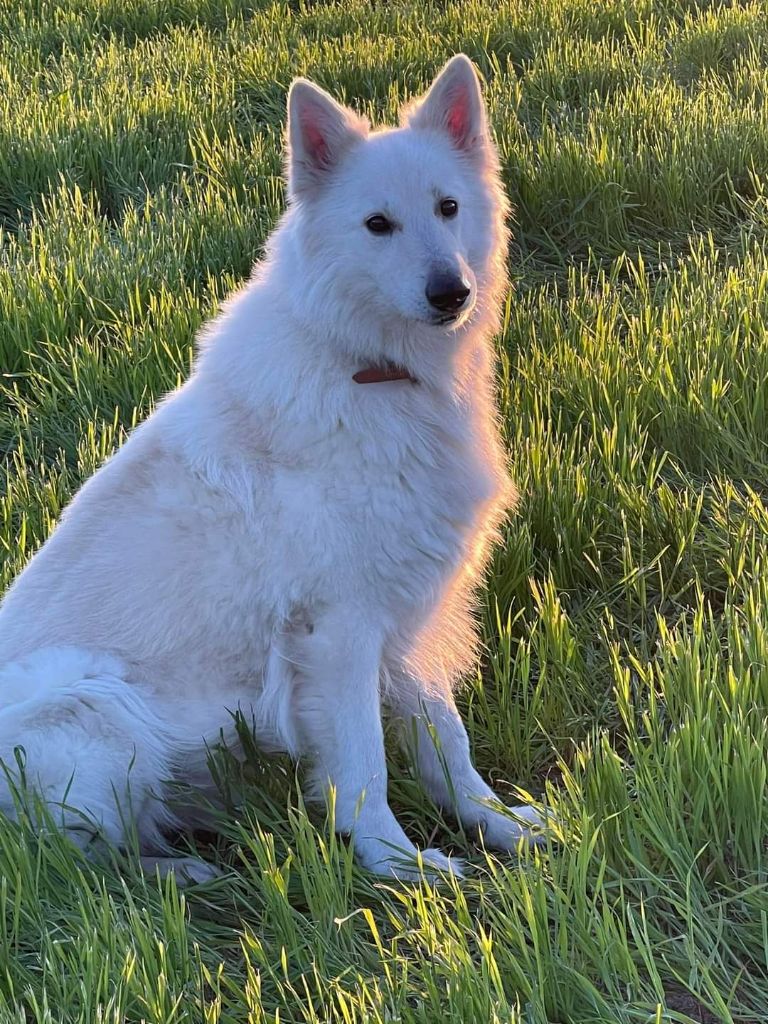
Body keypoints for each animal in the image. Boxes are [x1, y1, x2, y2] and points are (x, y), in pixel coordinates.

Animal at [0, 54, 544, 880]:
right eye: (377, 225)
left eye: (449, 208)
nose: (451, 292)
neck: (370, 367)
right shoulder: (339, 628)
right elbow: (364, 767)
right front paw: (400, 867)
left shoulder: (411, 614)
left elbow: (447, 744)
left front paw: (499, 823)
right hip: (97, 699)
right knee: (78, 861)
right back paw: (183, 875)